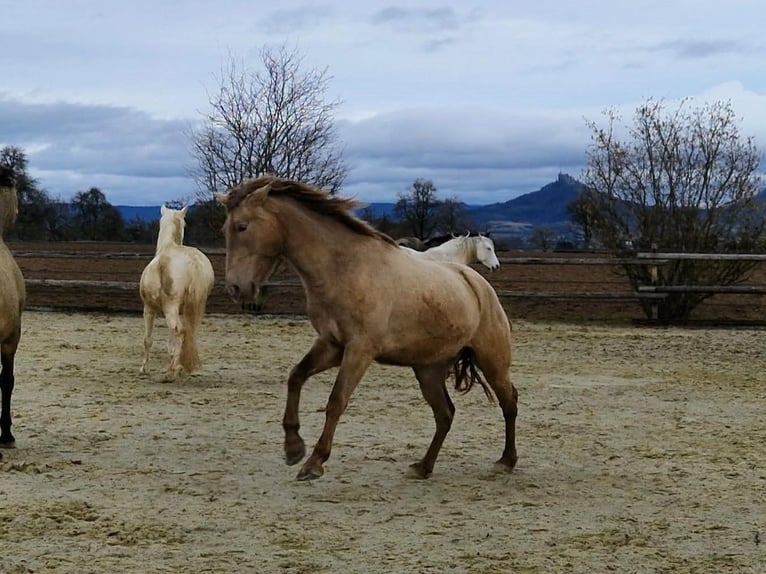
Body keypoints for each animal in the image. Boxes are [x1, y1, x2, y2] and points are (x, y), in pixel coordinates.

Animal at [139, 205, 215, 381]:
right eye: (185, 223)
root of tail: (193, 262)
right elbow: (171, 341)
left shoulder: (149, 309)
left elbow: (148, 339)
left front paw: (144, 368)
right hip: (194, 307)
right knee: (189, 333)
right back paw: (180, 368)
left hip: (170, 308)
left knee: (179, 332)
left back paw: (169, 373)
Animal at [217, 176, 518, 481]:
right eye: (225, 229)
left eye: (242, 226)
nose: (236, 288)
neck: (346, 268)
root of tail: (478, 284)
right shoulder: (331, 344)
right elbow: (296, 377)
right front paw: (293, 448)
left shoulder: (360, 350)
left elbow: (336, 400)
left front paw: (314, 462)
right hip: (428, 369)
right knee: (445, 414)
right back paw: (423, 467)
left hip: (492, 360)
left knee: (509, 401)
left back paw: (506, 461)